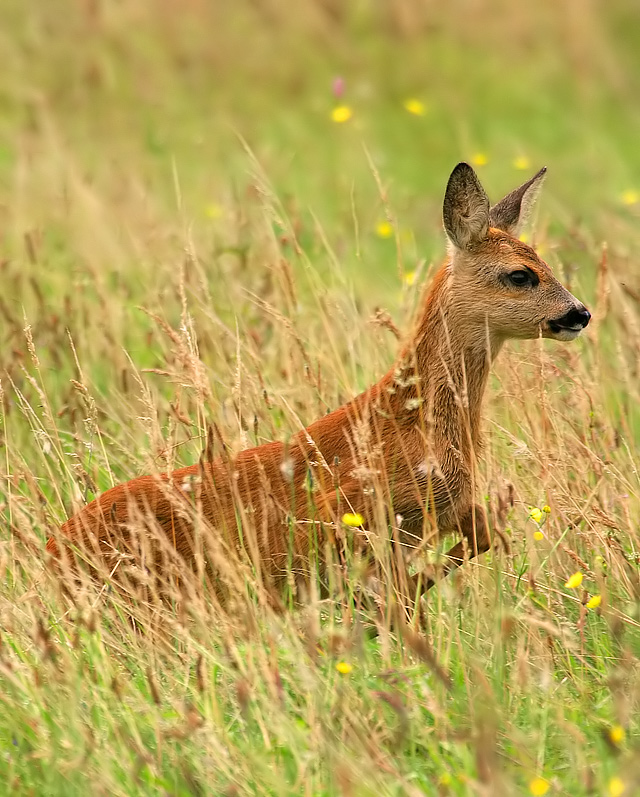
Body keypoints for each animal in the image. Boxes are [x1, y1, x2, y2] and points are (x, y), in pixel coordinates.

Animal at [46, 160, 592, 608]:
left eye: (547, 265)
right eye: (520, 275)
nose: (580, 313)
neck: (418, 424)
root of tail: (48, 553)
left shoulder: (444, 508)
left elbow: (487, 534)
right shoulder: (346, 511)